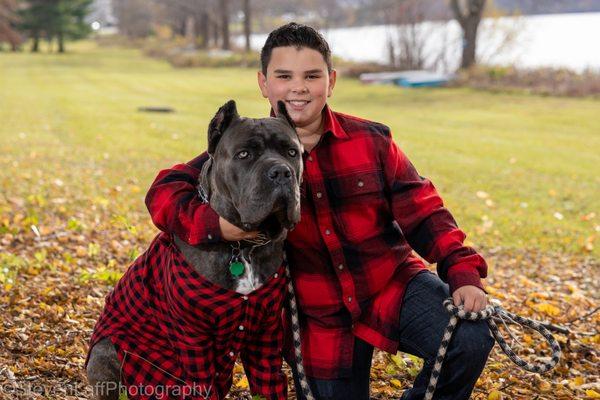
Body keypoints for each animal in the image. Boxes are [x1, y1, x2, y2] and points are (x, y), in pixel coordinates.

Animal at [86, 100, 302, 400]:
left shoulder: (266, 330)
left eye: (292, 152)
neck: (243, 247)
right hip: (104, 352)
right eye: (244, 154)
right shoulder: (192, 337)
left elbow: (269, 382)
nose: (281, 172)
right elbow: (201, 384)